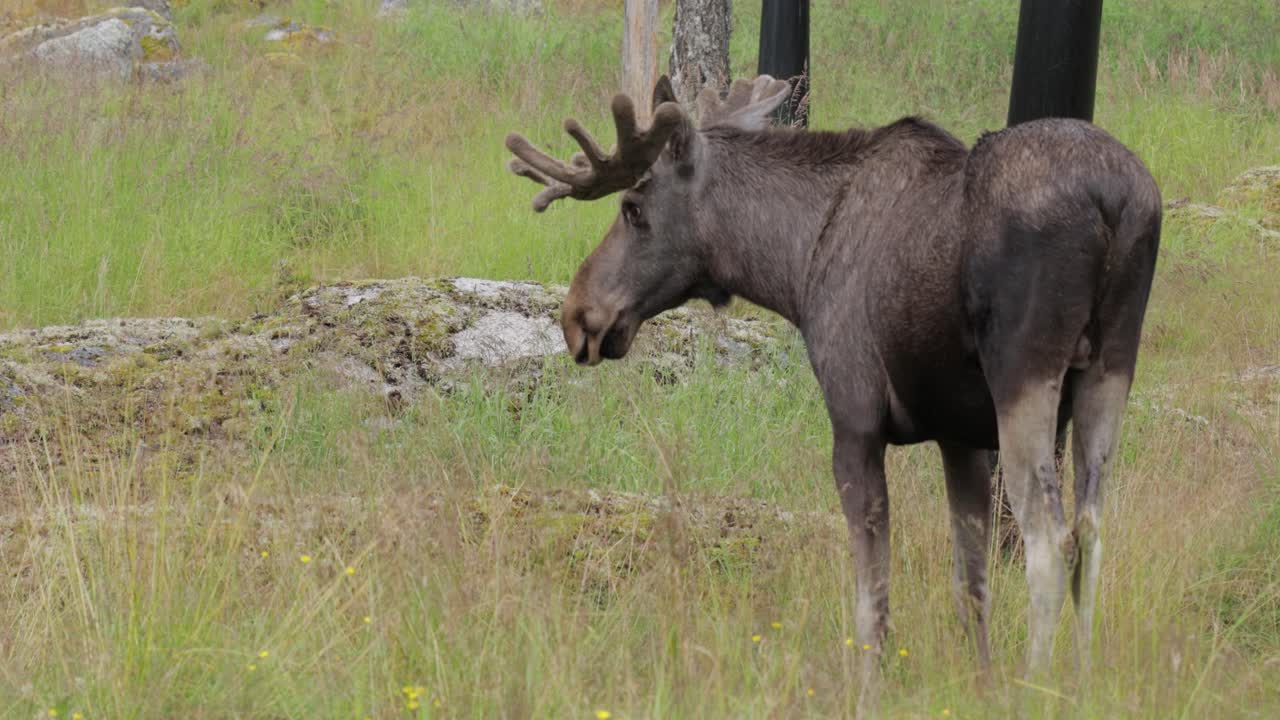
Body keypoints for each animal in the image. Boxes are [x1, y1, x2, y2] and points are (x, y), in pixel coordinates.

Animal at [505, 75, 1161, 705]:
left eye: (634, 207)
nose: (578, 314)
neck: (793, 265)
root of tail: (1117, 201)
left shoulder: (855, 419)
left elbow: (873, 599)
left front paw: (871, 689)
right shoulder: (959, 437)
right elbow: (970, 584)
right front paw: (980, 683)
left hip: (1024, 374)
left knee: (1050, 541)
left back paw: (1039, 685)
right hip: (1110, 373)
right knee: (1091, 534)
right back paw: (1080, 681)